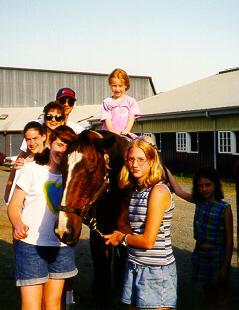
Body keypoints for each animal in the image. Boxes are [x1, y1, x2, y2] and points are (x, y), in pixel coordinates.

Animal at [54, 130, 131, 306]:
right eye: (62, 169)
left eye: (90, 170)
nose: (63, 230)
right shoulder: (98, 234)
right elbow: (102, 267)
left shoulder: (127, 234)